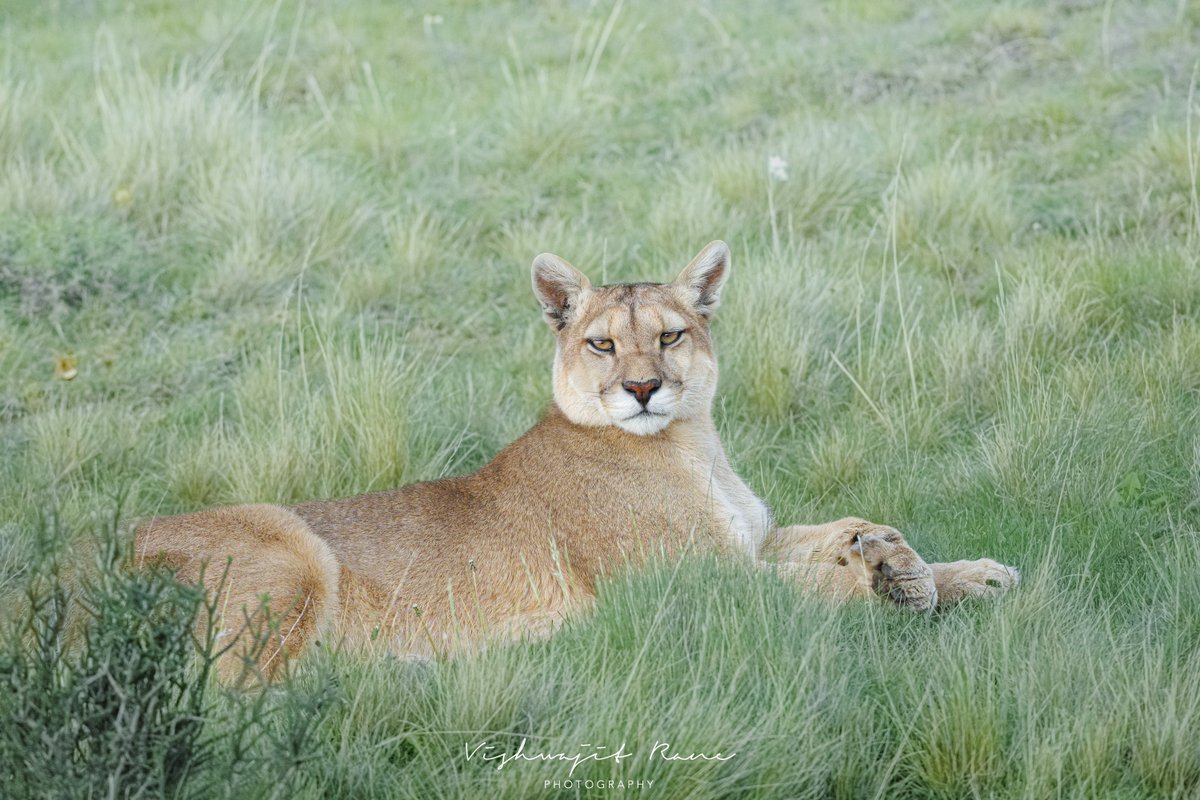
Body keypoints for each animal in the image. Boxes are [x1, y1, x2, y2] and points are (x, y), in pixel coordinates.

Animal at [135, 241, 1019, 682]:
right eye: (601, 342)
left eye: (670, 334)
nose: (642, 387)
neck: (691, 445)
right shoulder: (685, 584)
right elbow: (802, 586)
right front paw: (884, 582)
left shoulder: (748, 538)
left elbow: (833, 531)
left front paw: (947, 569)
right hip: (289, 551)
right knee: (240, 705)